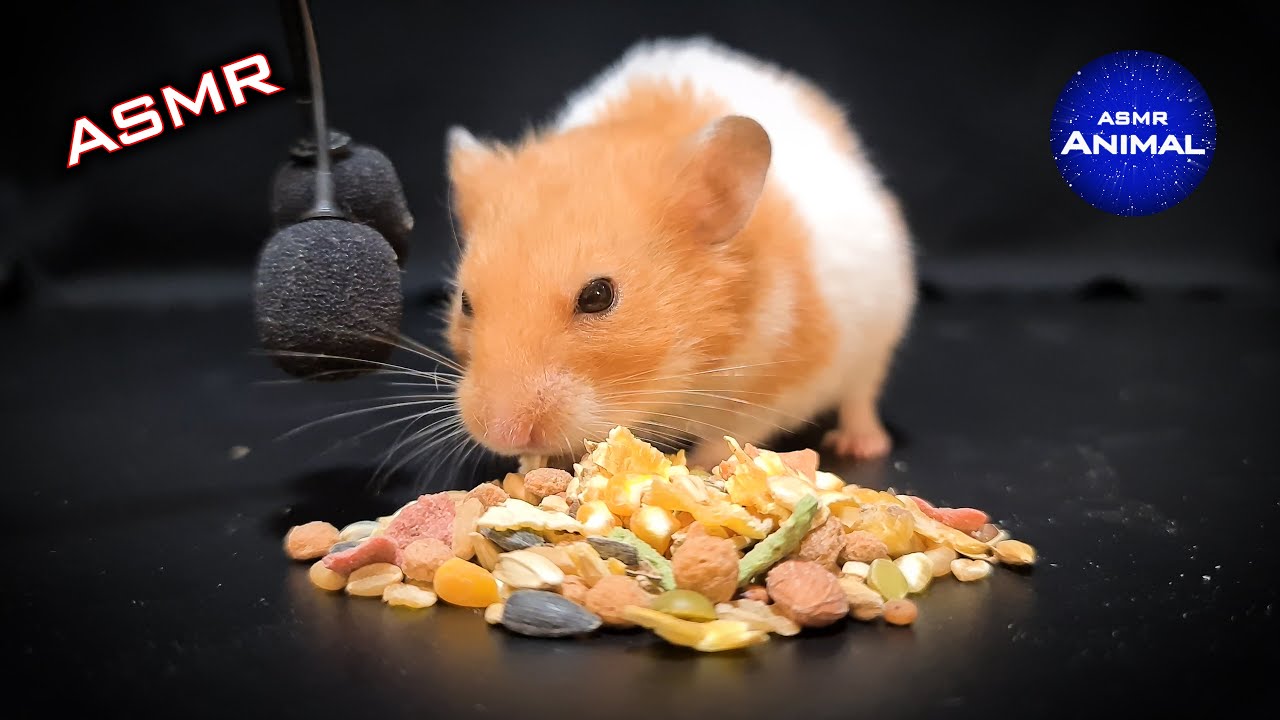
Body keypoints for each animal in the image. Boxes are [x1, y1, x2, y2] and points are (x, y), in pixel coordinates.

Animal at [443, 37, 915, 470]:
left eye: (597, 296)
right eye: (465, 302)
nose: (502, 434)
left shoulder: (780, 384)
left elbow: (732, 433)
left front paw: (697, 469)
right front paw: (530, 468)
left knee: (861, 395)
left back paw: (861, 444)